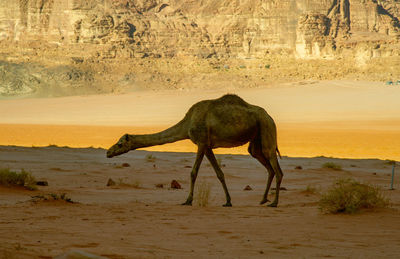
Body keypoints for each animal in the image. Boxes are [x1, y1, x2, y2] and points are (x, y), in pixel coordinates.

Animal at [105, 95, 282, 207]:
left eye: (120, 144)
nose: (108, 152)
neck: (188, 122)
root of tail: (269, 116)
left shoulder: (201, 142)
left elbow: (193, 172)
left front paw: (188, 200)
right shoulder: (208, 146)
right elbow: (219, 173)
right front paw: (228, 201)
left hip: (266, 127)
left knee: (276, 166)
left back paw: (274, 203)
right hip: (256, 139)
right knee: (267, 165)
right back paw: (263, 200)